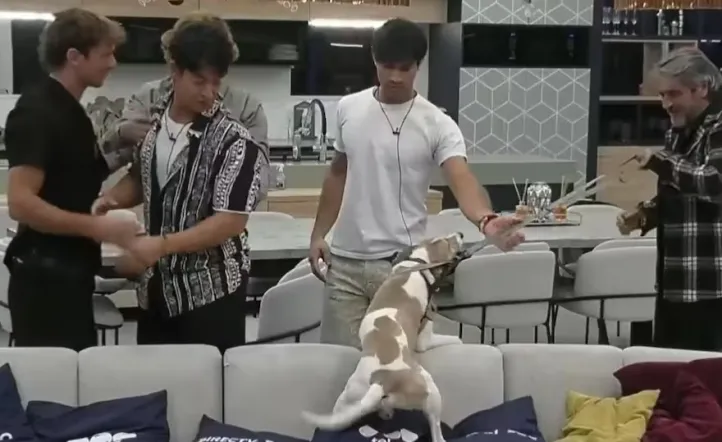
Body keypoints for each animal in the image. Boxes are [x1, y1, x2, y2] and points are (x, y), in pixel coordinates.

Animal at [303, 232, 465, 442]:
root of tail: (382, 380)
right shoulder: (425, 337)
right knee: (436, 433)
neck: (417, 264)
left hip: (349, 398)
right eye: (450, 242)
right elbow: (457, 339)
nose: (461, 234)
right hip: (430, 391)